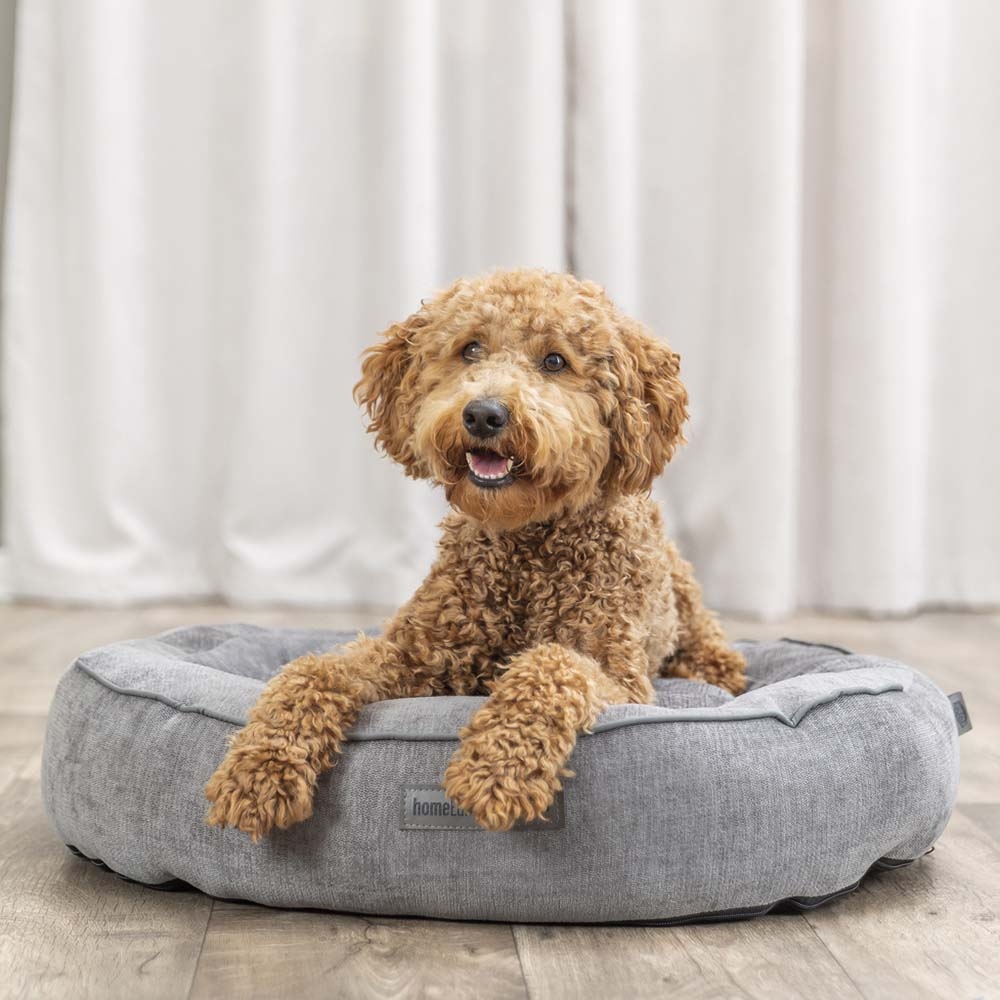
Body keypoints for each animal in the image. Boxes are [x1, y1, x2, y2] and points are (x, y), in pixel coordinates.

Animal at [205, 268, 746, 837]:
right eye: (470, 349)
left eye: (555, 361)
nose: (484, 414)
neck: (525, 549)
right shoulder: (414, 655)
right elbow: (314, 670)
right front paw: (259, 770)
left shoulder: (623, 681)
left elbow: (552, 665)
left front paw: (496, 770)